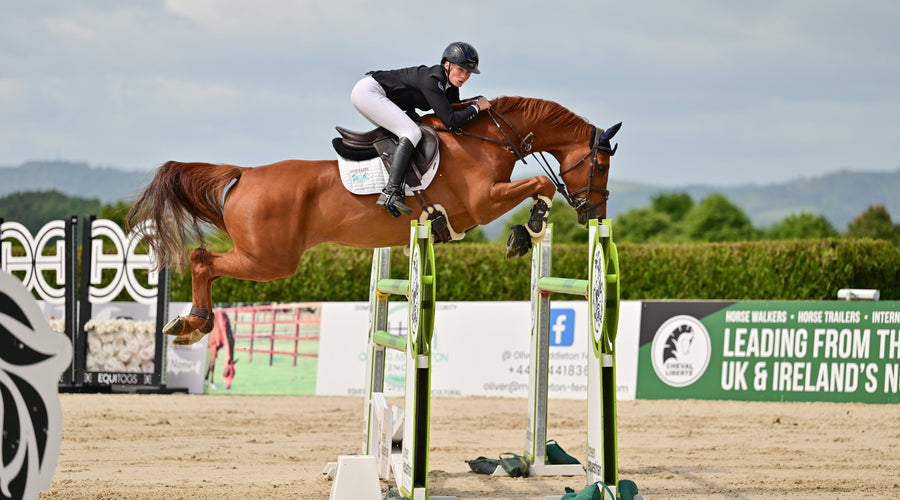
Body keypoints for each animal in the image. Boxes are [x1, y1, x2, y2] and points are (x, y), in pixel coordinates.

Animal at [127, 96, 621, 345]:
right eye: (600, 163)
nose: (595, 213)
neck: (486, 136)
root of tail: (245, 174)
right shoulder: (483, 203)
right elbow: (539, 183)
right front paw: (526, 231)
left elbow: (538, 184)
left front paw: (525, 231)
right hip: (270, 260)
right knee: (203, 260)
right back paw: (192, 322)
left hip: (265, 257)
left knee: (205, 261)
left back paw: (191, 324)